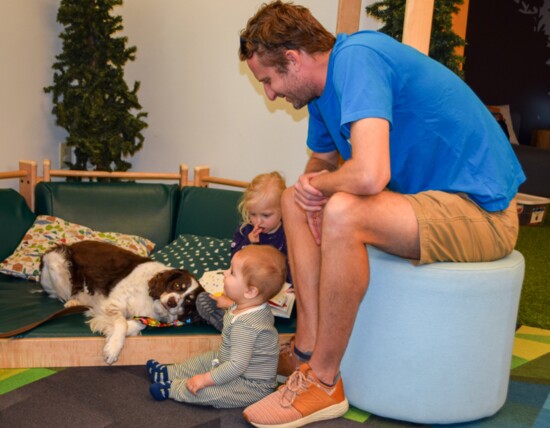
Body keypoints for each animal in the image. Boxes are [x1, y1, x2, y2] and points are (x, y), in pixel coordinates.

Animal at [40, 241, 205, 364]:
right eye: (177, 285)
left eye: (188, 301)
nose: (172, 302)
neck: (152, 300)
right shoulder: (112, 303)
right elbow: (122, 323)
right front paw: (113, 348)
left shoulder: (146, 317)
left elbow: (136, 324)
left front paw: (110, 330)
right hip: (55, 260)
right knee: (63, 294)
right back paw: (73, 301)